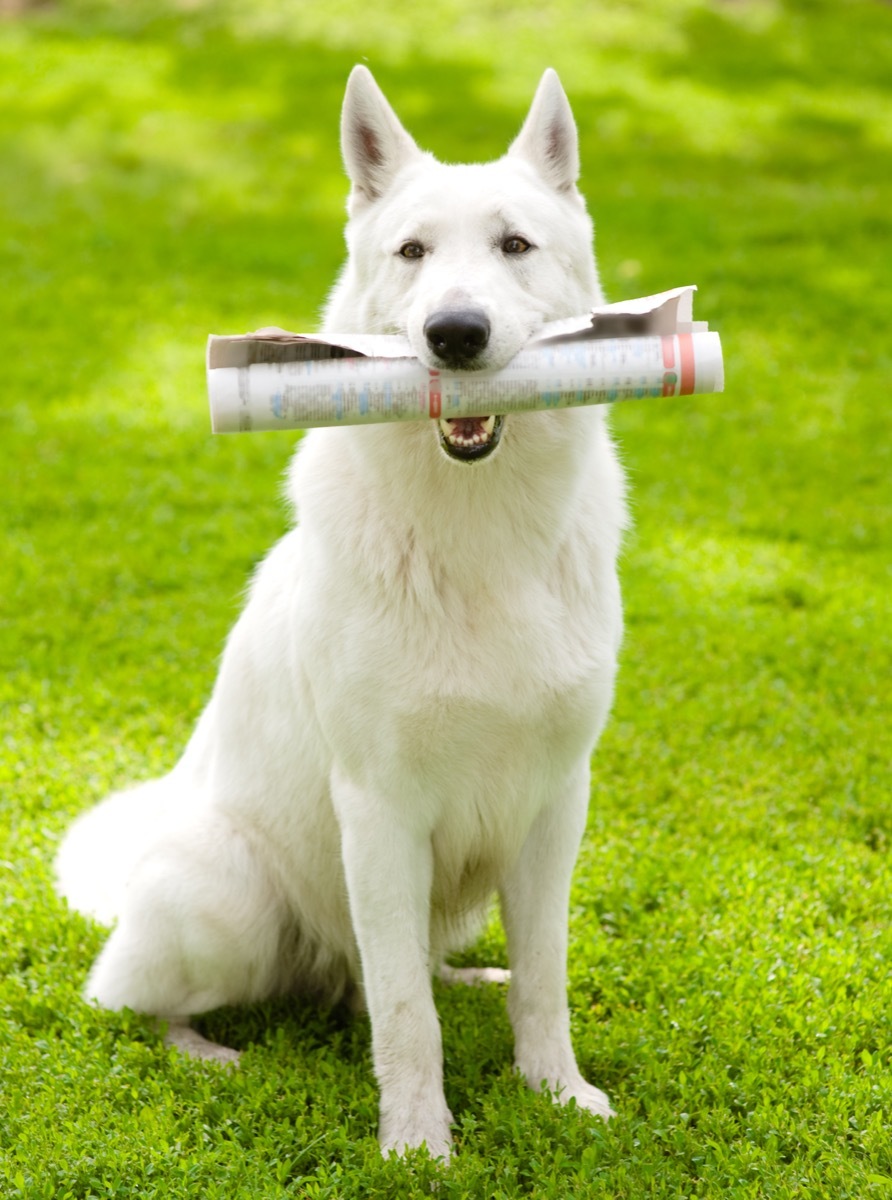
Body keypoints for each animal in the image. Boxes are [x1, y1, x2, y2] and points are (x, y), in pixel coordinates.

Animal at [55, 68, 629, 1161]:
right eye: (412, 253)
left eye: (514, 246)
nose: (454, 333)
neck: (476, 537)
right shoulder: (379, 808)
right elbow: (404, 1017)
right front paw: (417, 1146)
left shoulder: (555, 806)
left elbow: (542, 980)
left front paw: (555, 1092)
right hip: (233, 902)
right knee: (145, 1002)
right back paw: (211, 1052)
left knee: (396, 974)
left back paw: (468, 977)